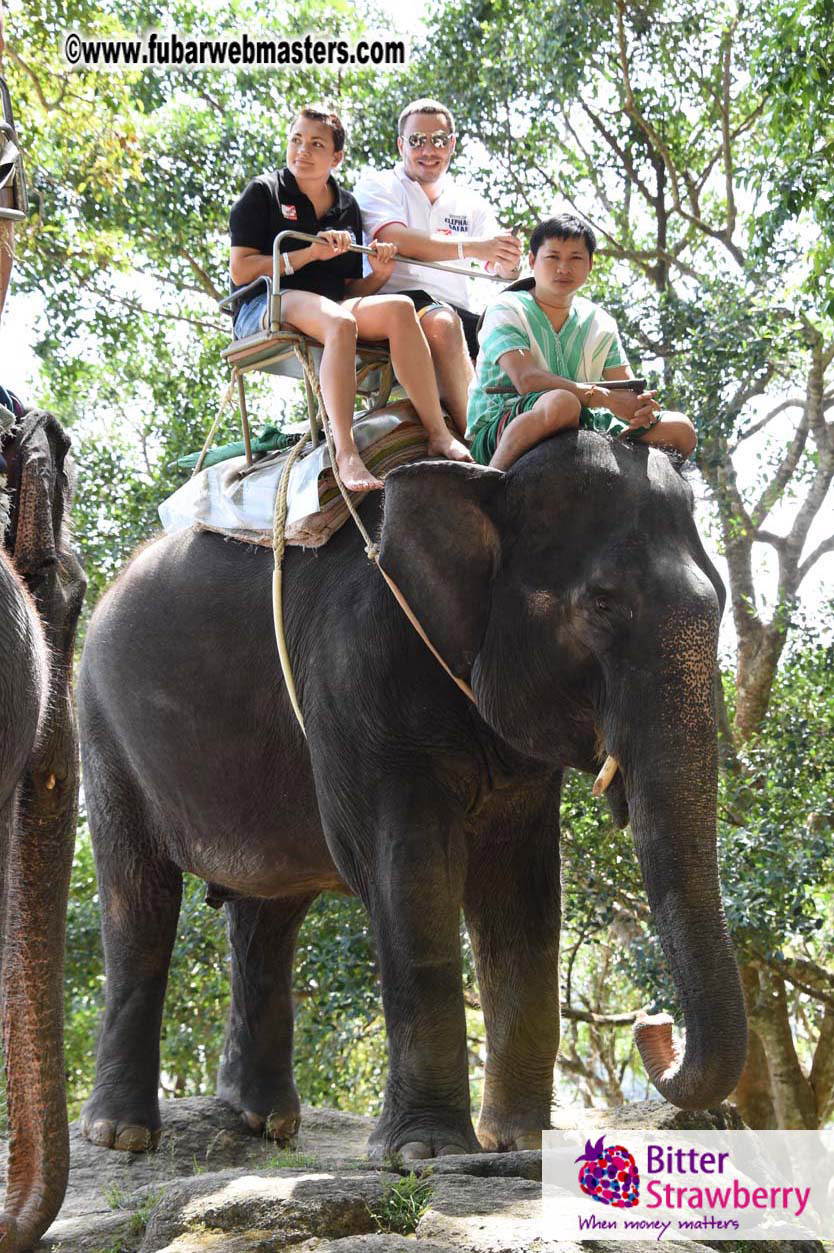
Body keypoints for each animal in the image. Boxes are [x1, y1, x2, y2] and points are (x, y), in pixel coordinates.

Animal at [77, 429, 747, 1161]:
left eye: (719, 601)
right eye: (602, 604)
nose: (655, 1023)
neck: (484, 480)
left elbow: (521, 886)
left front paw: (520, 1142)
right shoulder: (359, 673)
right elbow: (410, 869)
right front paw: (427, 1153)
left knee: (267, 913)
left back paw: (265, 1121)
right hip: (105, 731)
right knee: (139, 901)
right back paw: (122, 1134)